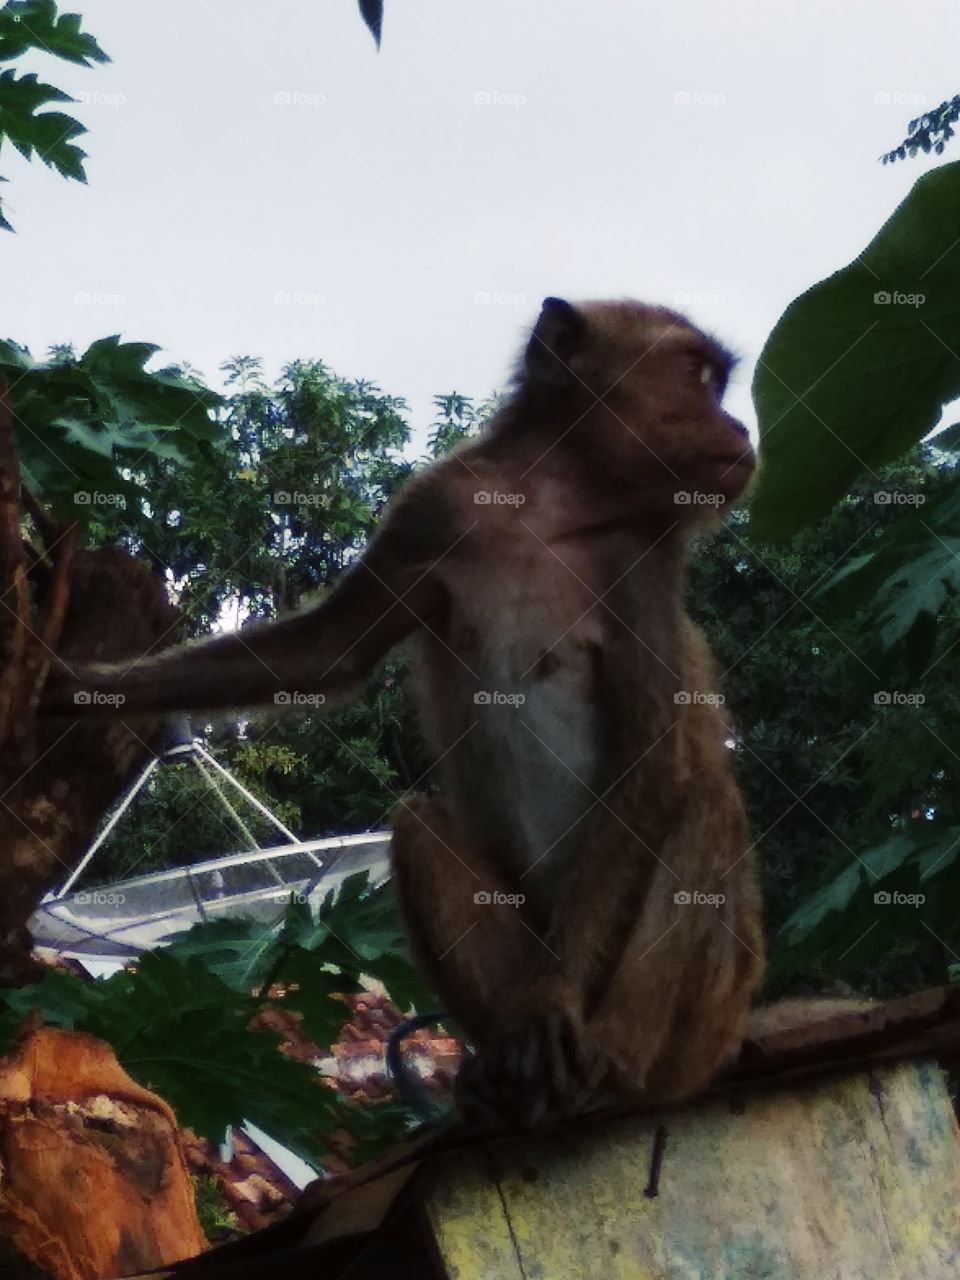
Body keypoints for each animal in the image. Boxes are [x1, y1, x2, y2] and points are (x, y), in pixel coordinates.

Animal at [42, 297, 765, 1130]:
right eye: (697, 376)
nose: (740, 430)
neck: (554, 503)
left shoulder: (644, 560)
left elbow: (651, 765)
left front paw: (553, 1002)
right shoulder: (438, 507)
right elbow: (326, 654)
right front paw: (69, 685)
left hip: (699, 1027)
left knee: (704, 802)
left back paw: (612, 1068)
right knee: (419, 824)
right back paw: (500, 1075)